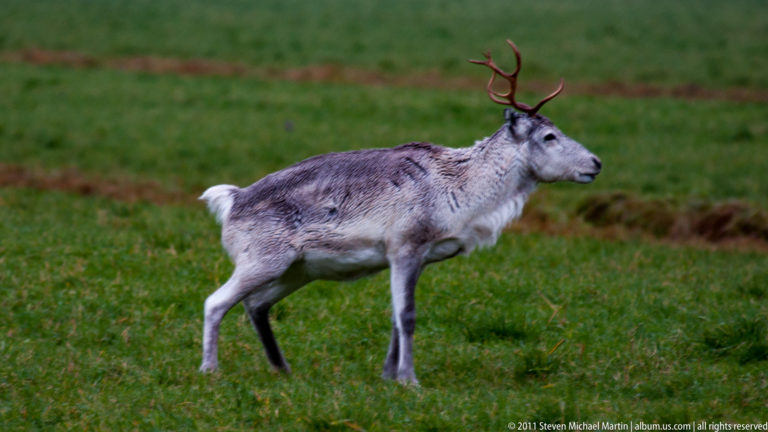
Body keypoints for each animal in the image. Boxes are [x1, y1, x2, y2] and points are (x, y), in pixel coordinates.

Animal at [198, 40, 602, 384]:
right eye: (548, 136)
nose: (596, 163)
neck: (464, 191)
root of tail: (232, 200)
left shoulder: (419, 256)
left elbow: (395, 316)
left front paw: (388, 375)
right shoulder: (405, 246)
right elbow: (407, 316)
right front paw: (410, 380)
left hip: (298, 270)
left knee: (255, 304)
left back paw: (282, 368)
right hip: (263, 260)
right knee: (215, 302)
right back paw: (210, 369)